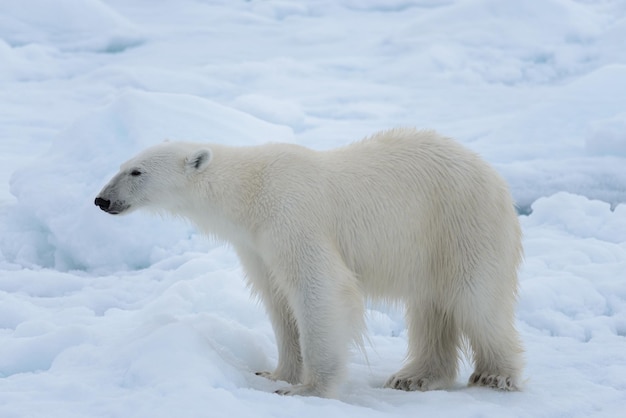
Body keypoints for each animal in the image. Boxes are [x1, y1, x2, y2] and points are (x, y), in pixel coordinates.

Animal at [92, 128, 520, 398]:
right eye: (121, 165)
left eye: (136, 171)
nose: (101, 200)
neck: (250, 192)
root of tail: (493, 175)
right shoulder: (256, 244)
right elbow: (278, 302)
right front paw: (274, 372)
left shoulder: (292, 216)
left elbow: (319, 289)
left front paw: (305, 388)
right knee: (431, 308)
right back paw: (414, 377)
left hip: (460, 223)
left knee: (476, 299)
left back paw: (495, 375)